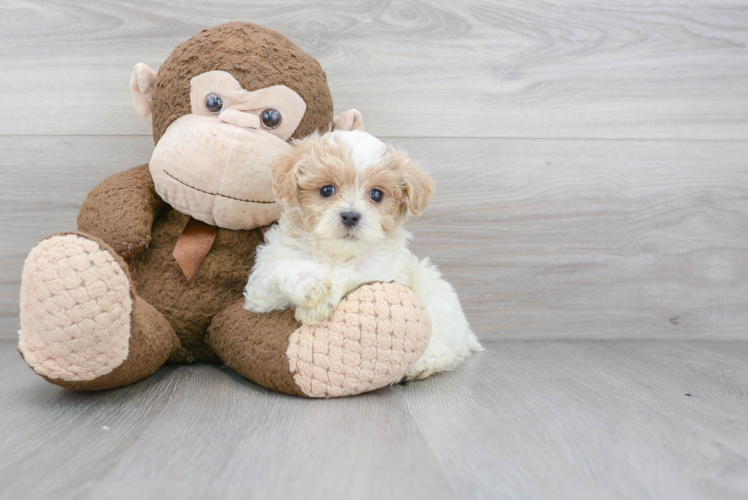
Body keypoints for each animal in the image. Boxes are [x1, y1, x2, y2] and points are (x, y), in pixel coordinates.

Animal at [243, 130, 482, 378]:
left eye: (376, 195)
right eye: (326, 190)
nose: (350, 215)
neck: (339, 254)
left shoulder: (383, 274)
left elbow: (352, 276)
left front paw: (322, 301)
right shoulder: (261, 289)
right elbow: (286, 269)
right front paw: (312, 287)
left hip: (436, 294)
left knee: (444, 346)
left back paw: (422, 362)